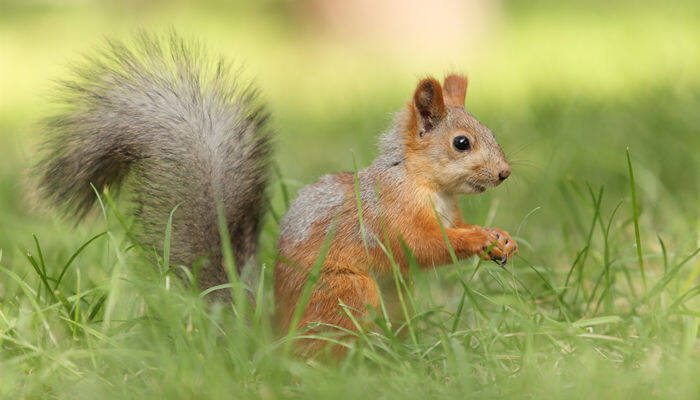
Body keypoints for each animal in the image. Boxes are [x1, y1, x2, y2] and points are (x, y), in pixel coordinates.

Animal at [39, 32, 520, 356]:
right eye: (461, 143)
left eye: (491, 131)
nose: (504, 173)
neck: (426, 185)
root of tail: (276, 341)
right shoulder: (393, 212)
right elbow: (423, 244)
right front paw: (479, 238)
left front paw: (501, 238)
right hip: (347, 293)